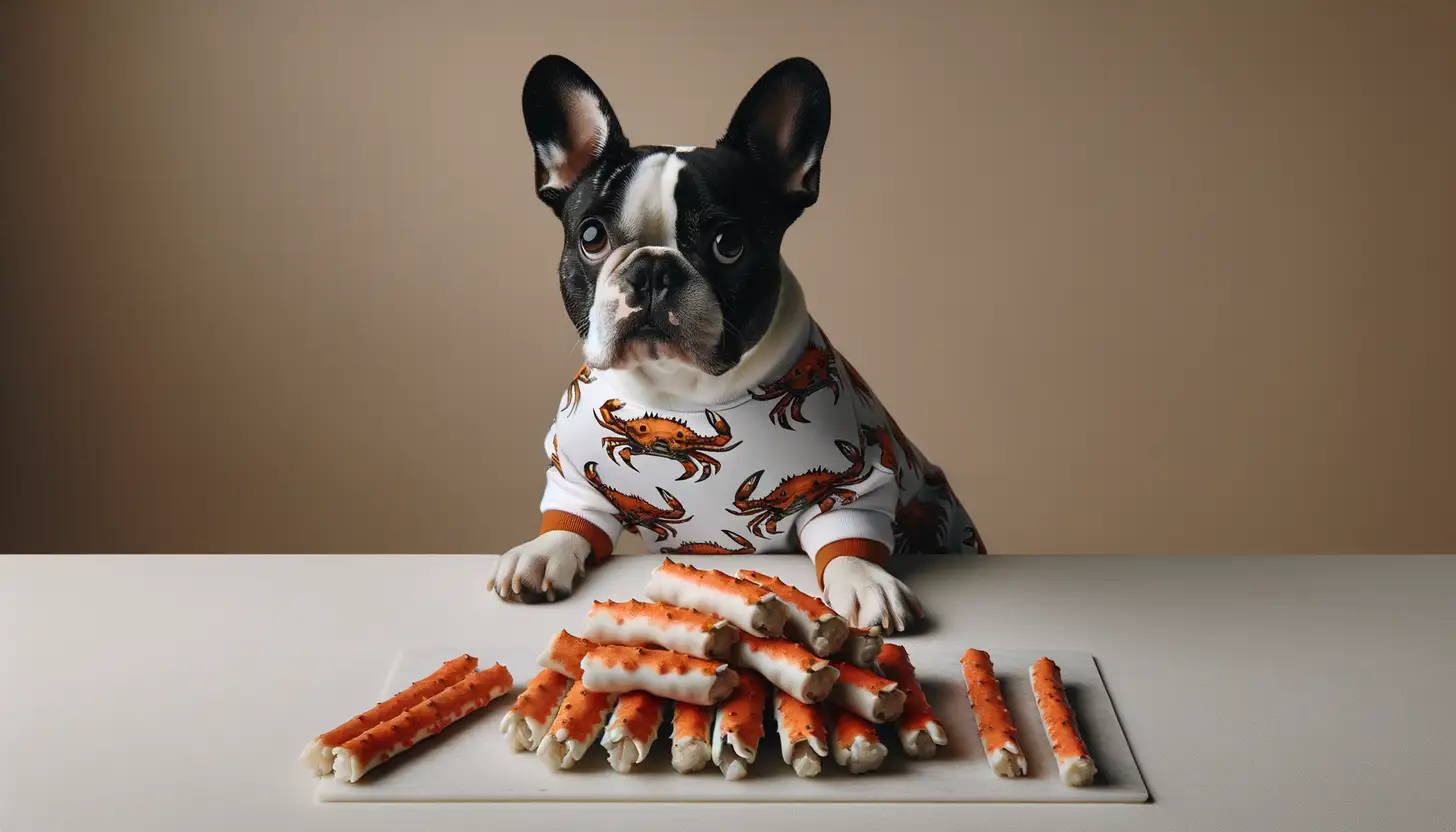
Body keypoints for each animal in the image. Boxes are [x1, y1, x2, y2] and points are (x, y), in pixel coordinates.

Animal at [492, 55, 990, 635]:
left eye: (728, 244)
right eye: (591, 237)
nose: (654, 270)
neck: (680, 391)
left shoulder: (859, 479)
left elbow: (847, 534)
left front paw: (867, 580)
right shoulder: (574, 476)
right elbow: (572, 518)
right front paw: (542, 552)